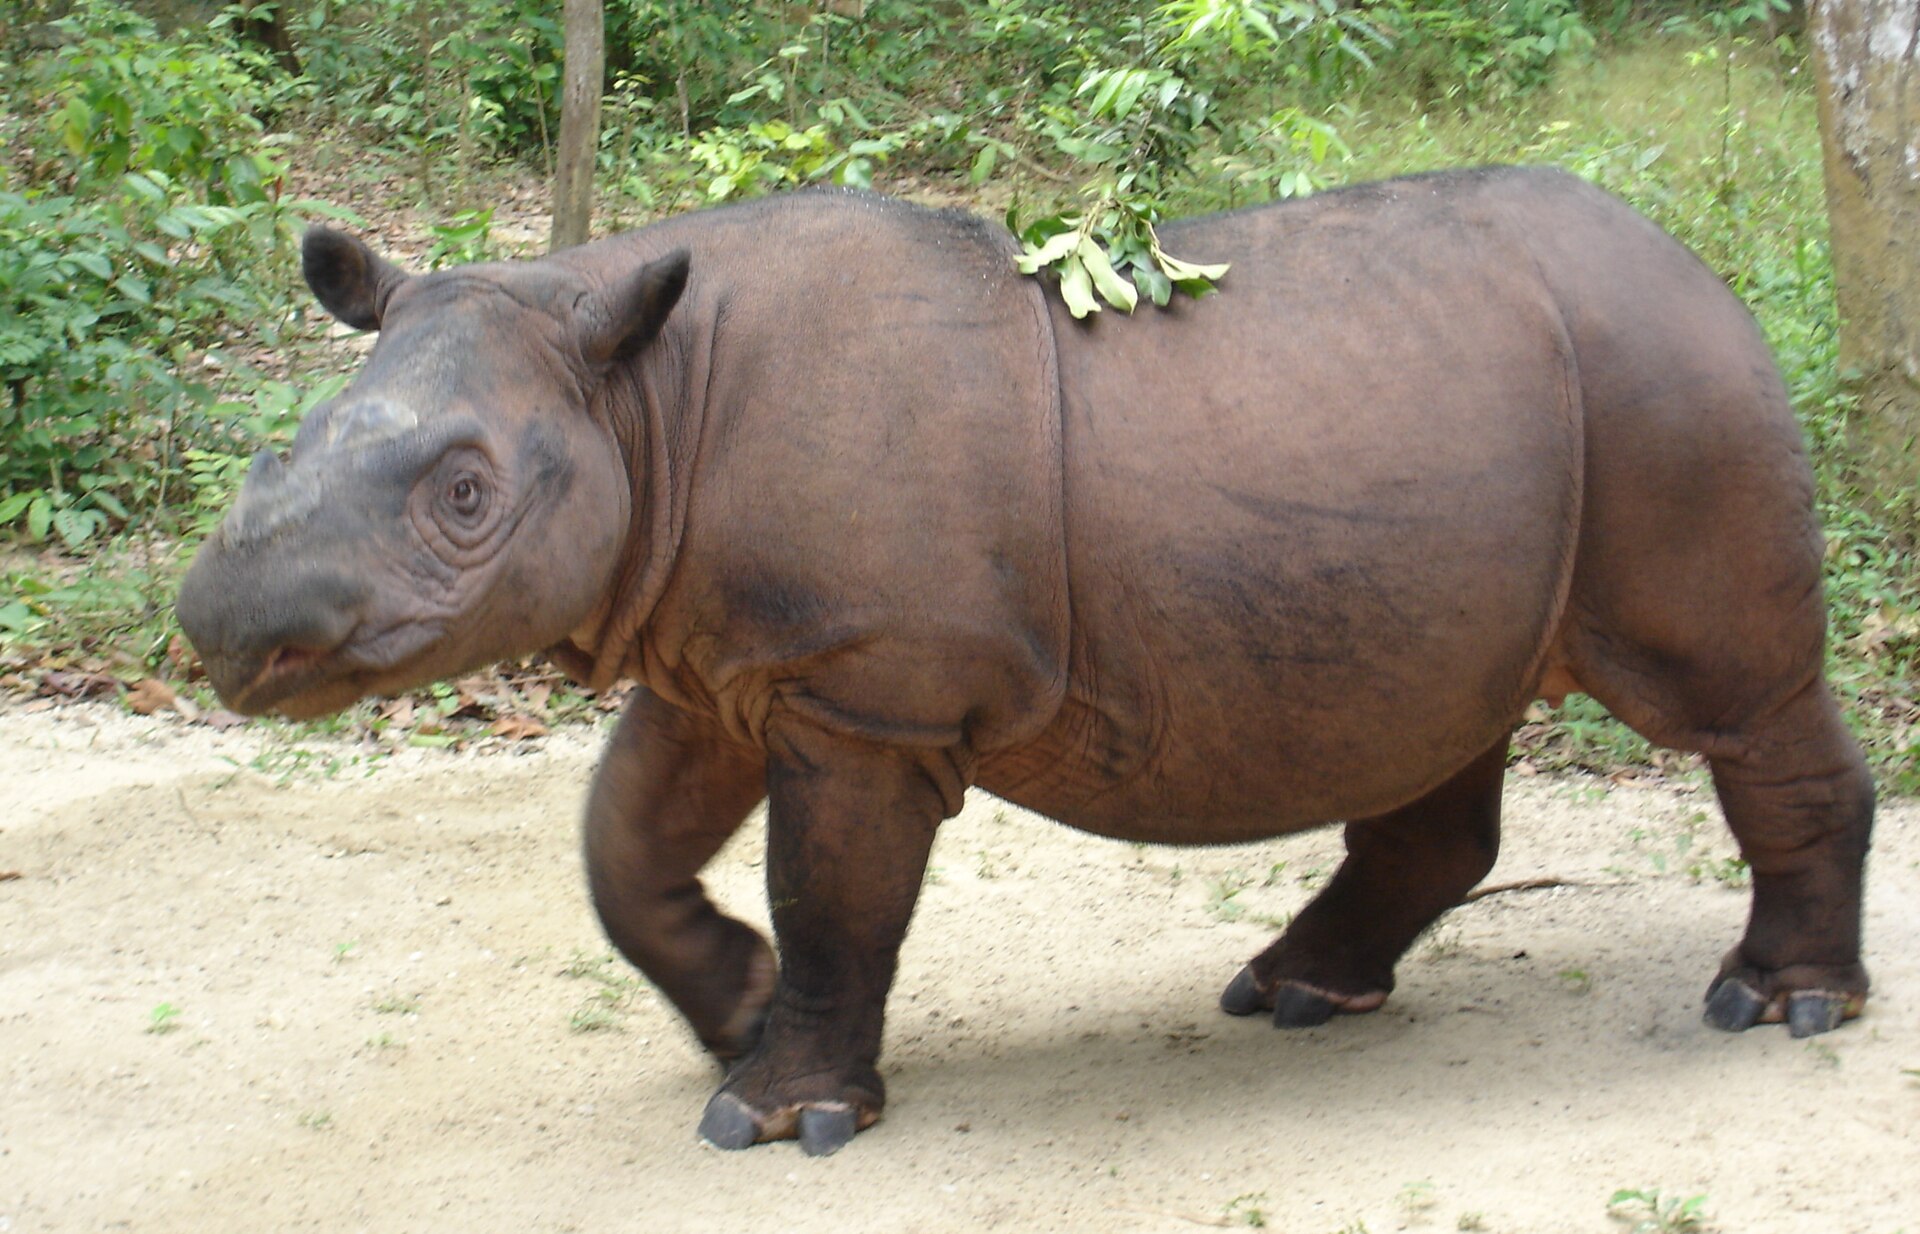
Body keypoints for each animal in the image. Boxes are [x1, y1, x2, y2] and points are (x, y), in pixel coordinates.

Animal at [176, 167, 1874, 1156]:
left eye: (466, 495)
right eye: (286, 445)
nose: (221, 627)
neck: (636, 393)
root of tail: (1699, 259)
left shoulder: (864, 688)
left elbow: (833, 890)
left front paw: (775, 1117)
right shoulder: (728, 652)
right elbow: (623, 845)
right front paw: (736, 1007)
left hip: (1669, 383)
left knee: (1733, 699)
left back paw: (1778, 1009)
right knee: (1437, 718)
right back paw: (1295, 995)